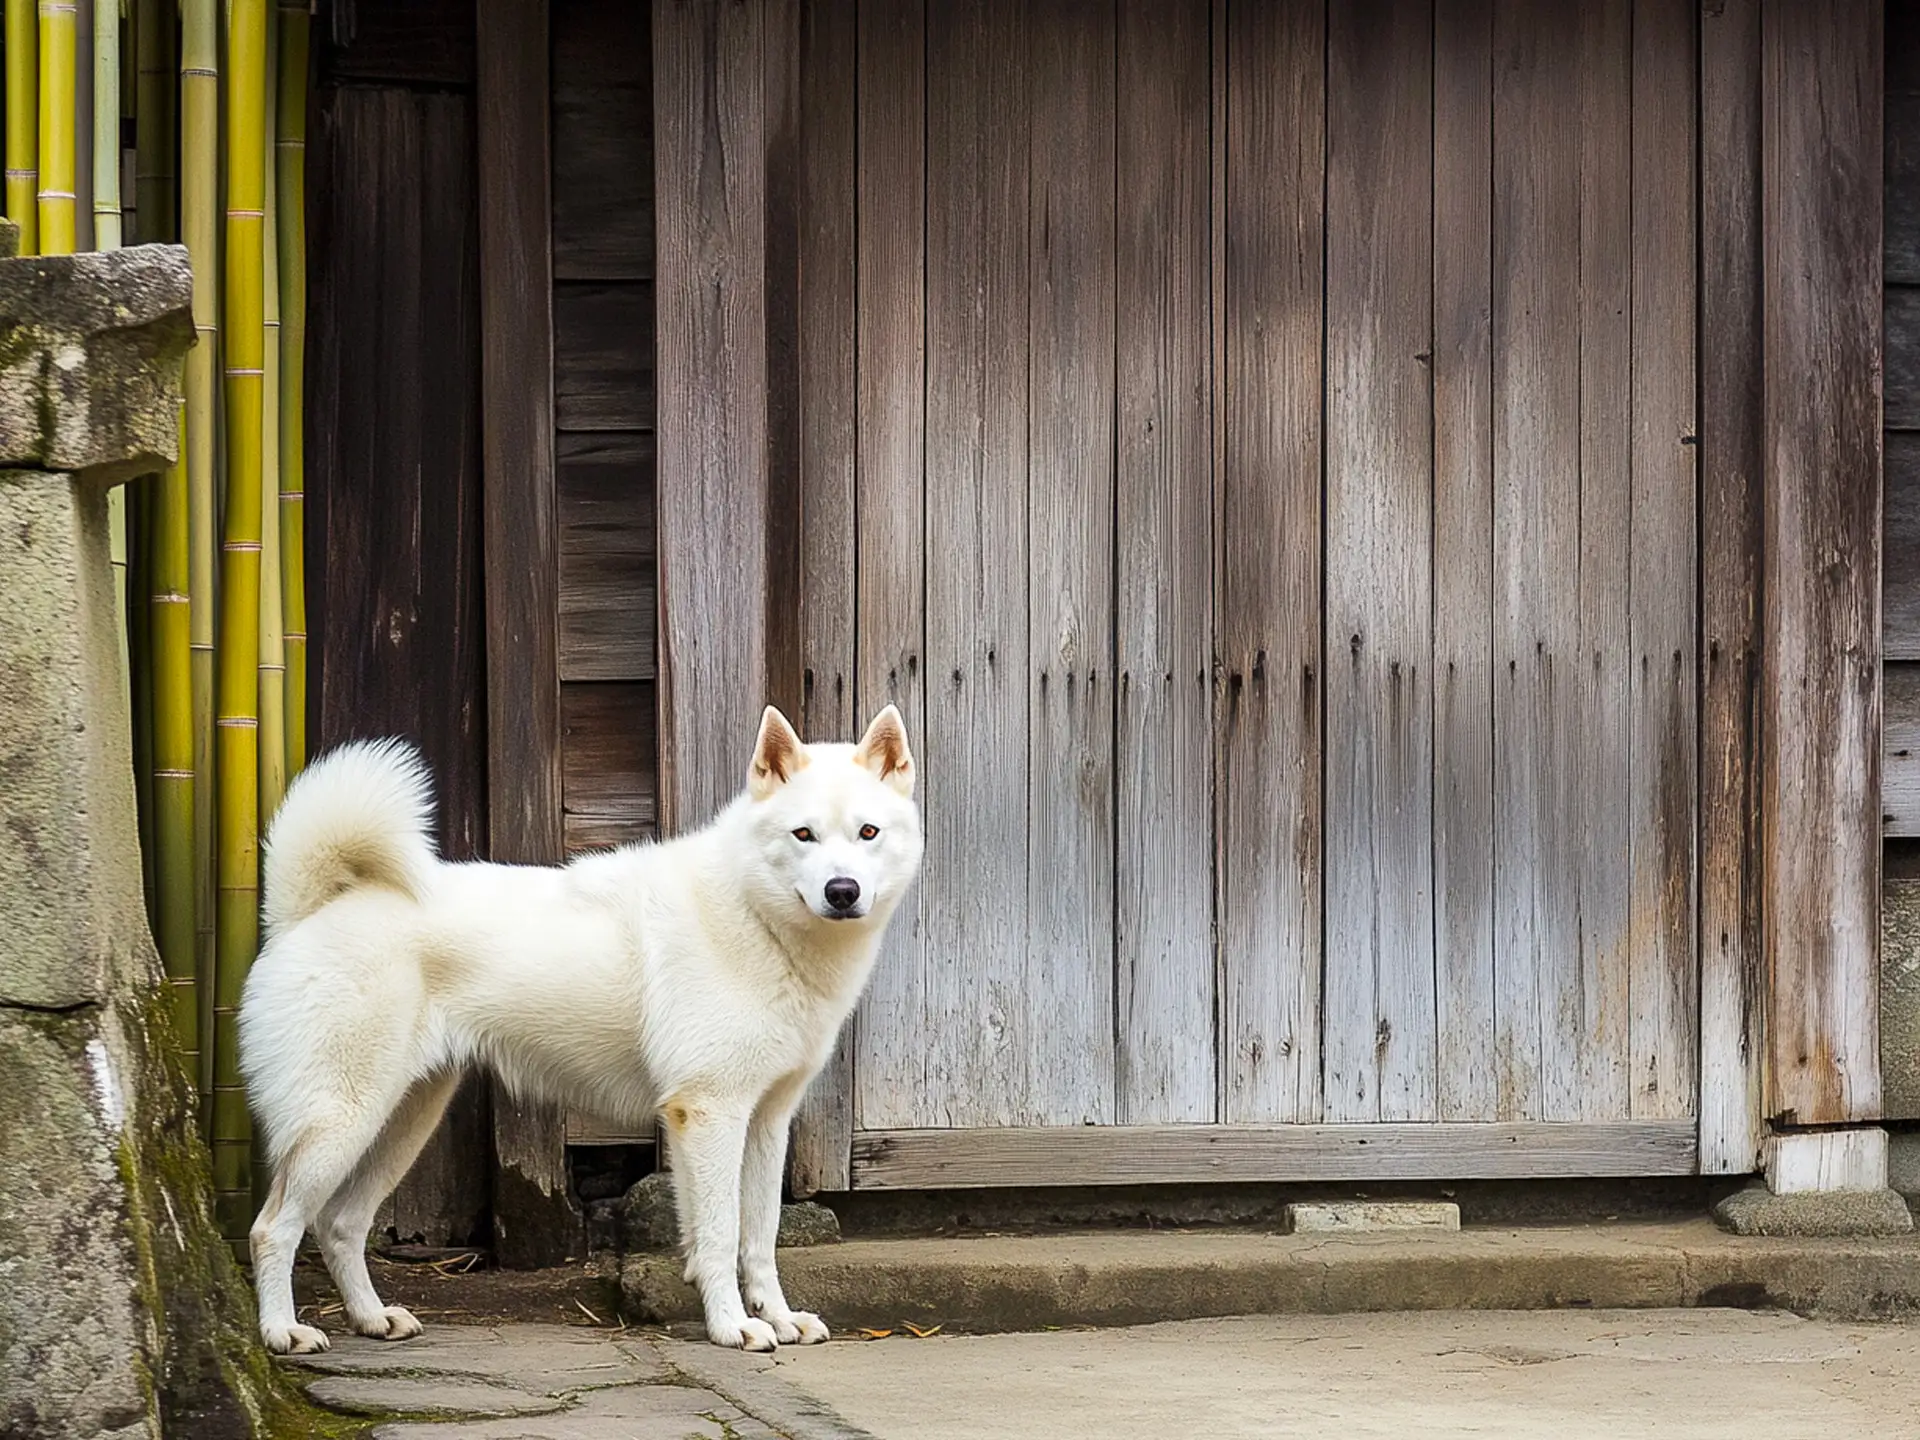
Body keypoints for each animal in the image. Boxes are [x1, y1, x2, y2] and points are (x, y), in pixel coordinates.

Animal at [236, 706, 925, 1359]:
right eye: (802, 834)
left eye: (868, 833)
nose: (842, 891)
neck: (757, 916)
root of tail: (308, 910)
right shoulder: (710, 1112)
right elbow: (721, 1234)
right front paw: (734, 1328)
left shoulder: (763, 1121)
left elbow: (757, 1238)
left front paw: (777, 1319)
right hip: (342, 1121)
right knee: (273, 1228)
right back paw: (282, 1332)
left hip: (403, 1119)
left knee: (340, 1225)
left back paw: (372, 1319)